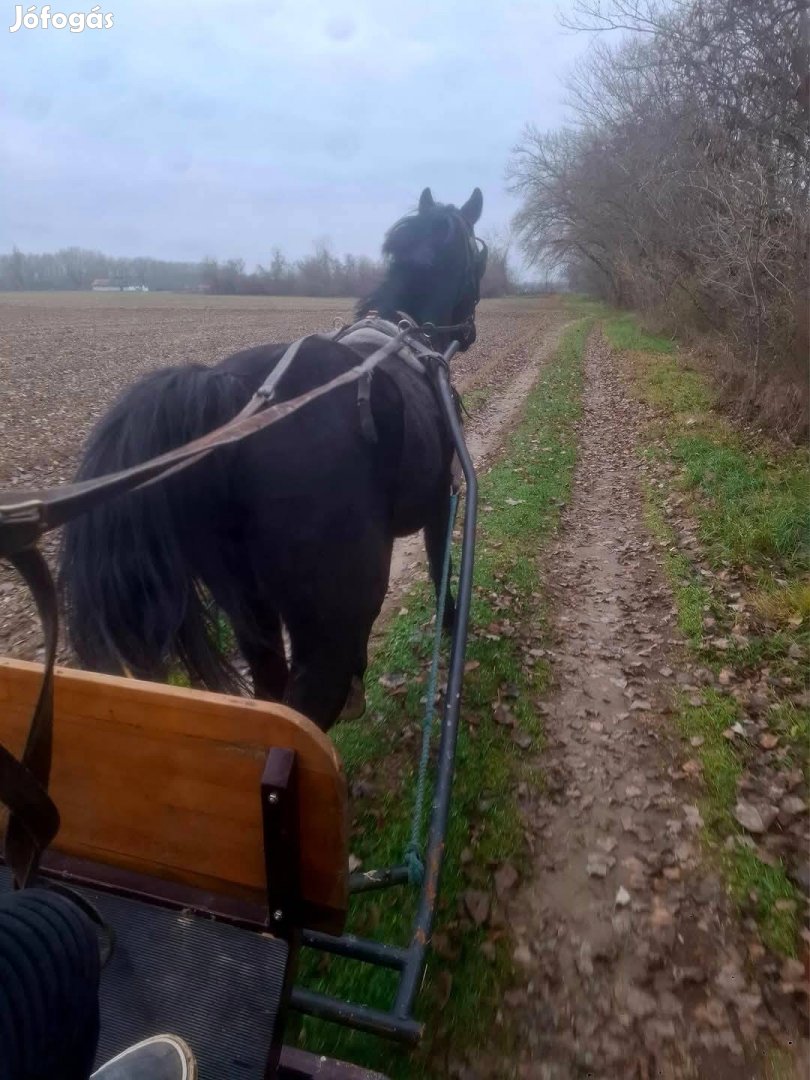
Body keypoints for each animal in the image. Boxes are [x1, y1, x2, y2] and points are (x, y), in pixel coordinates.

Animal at [61, 187, 488, 734]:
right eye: (478, 258)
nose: (471, 328)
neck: (408, 336)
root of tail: (230, 394)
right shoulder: (439, 505)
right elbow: (440, 573)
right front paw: (453, 627)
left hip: (250, 608)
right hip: (330, 614)